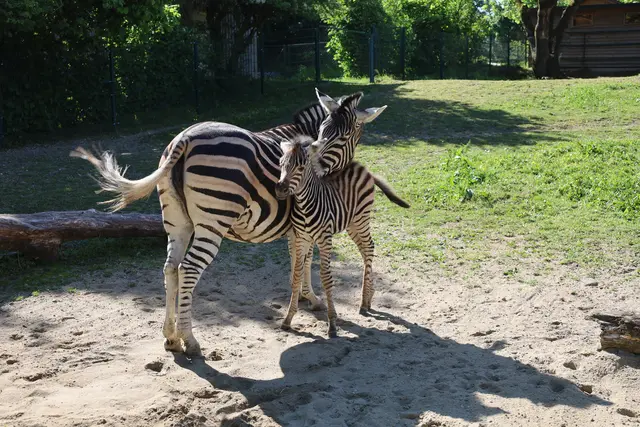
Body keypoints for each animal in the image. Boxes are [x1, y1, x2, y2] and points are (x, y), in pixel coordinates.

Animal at [70, 89, 387, 355]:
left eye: (338, 137)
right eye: (323, 133)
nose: (315, 168)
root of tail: (184, 138)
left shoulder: (297, 226)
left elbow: (300, 260)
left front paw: (302, 297)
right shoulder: (300, 226)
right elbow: (304, 259)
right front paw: (311, 299)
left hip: (176, 221)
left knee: (171, 268)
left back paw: (171, 337)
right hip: (213, 220)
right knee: (188, 269)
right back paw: (190, 341)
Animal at [274, 136, 410, 338]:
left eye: (300, 167)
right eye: (281, 164)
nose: (280, 189)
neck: (305, 205)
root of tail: (364, 168)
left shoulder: (324, 239)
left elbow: (326, 277)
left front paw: (332, 324)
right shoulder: (301, 238)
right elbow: (297, 274)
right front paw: (288, 319)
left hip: (361, 219)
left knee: (369, 247)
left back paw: (363, 303)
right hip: (351, 224)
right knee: (364, 249)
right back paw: (369, 296)